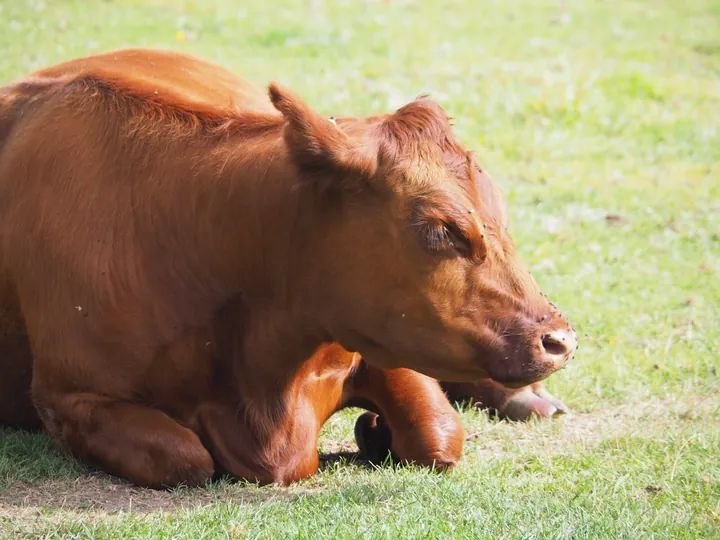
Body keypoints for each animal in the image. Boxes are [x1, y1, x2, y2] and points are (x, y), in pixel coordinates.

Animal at [0, 50, 576, 488]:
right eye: (441, 230)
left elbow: (438, 434)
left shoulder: (379, 338)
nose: (562, 340)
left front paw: (379, 431)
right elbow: (183, 457)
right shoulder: (68, 396)